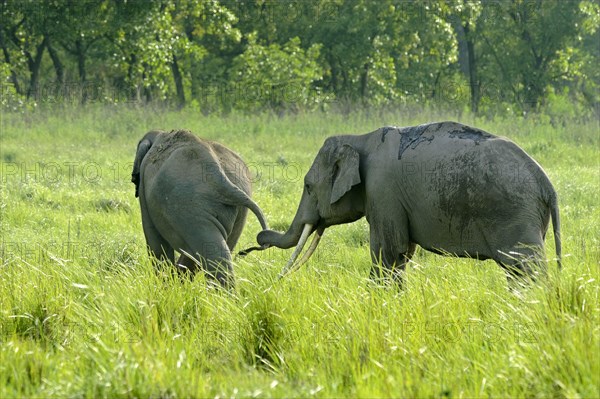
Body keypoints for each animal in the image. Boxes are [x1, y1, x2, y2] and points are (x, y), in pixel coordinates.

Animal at [134, 130, 270, 290]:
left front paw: (168, 288)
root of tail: (219, 177)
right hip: (236, 209)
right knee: (219, 251)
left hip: (188, 205)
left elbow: (156, 243)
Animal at [253, 121, 564, 284]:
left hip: (516, 216)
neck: (361, 138)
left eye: (307, 186)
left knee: (525, 268)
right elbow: (401, 255)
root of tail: (546, 184)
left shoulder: (383, 191)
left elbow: (388, 252)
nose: (258, 239)